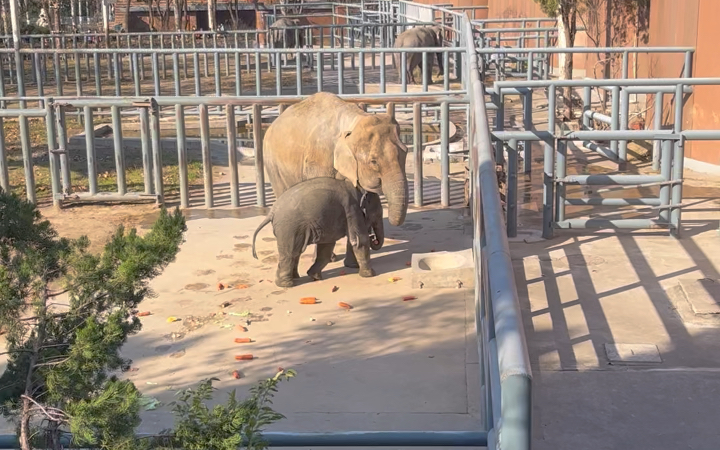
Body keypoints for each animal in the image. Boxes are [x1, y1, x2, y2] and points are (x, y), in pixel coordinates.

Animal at [252, 177, 386, 286]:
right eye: (378, 214)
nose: (373, 238)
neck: (357, 188)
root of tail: (272, 211)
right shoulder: (352, 210)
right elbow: (359, 240)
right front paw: (370, 275)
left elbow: (327, 245)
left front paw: (314, 276)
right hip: (289, 228)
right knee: (290, 252)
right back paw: (286, 284)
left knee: (296, 251)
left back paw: (294, 278)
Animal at [262, 91, 408, 268]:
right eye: (373, 161)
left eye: (406, 152)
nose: (374, 239)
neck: (354, 121)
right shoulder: (319, 160)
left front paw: (352, 265)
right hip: (272, 164)